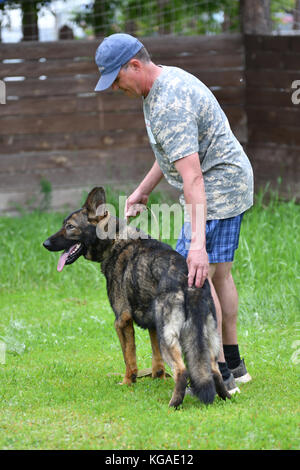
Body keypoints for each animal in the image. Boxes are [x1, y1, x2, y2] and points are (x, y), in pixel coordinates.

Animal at [43, 187, 230, 408]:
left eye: (70, 227)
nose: (45, 243)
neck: (114, 240)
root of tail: (186, 278)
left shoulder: (121, 321)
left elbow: (129, 357)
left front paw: (127, 382)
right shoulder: (152, 326)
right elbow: (156, 360)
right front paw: (158, 377)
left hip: (169, 337)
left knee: (182, 370)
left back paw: (173, 404)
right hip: (207, 337)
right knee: (214, 370)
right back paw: (226, 397)